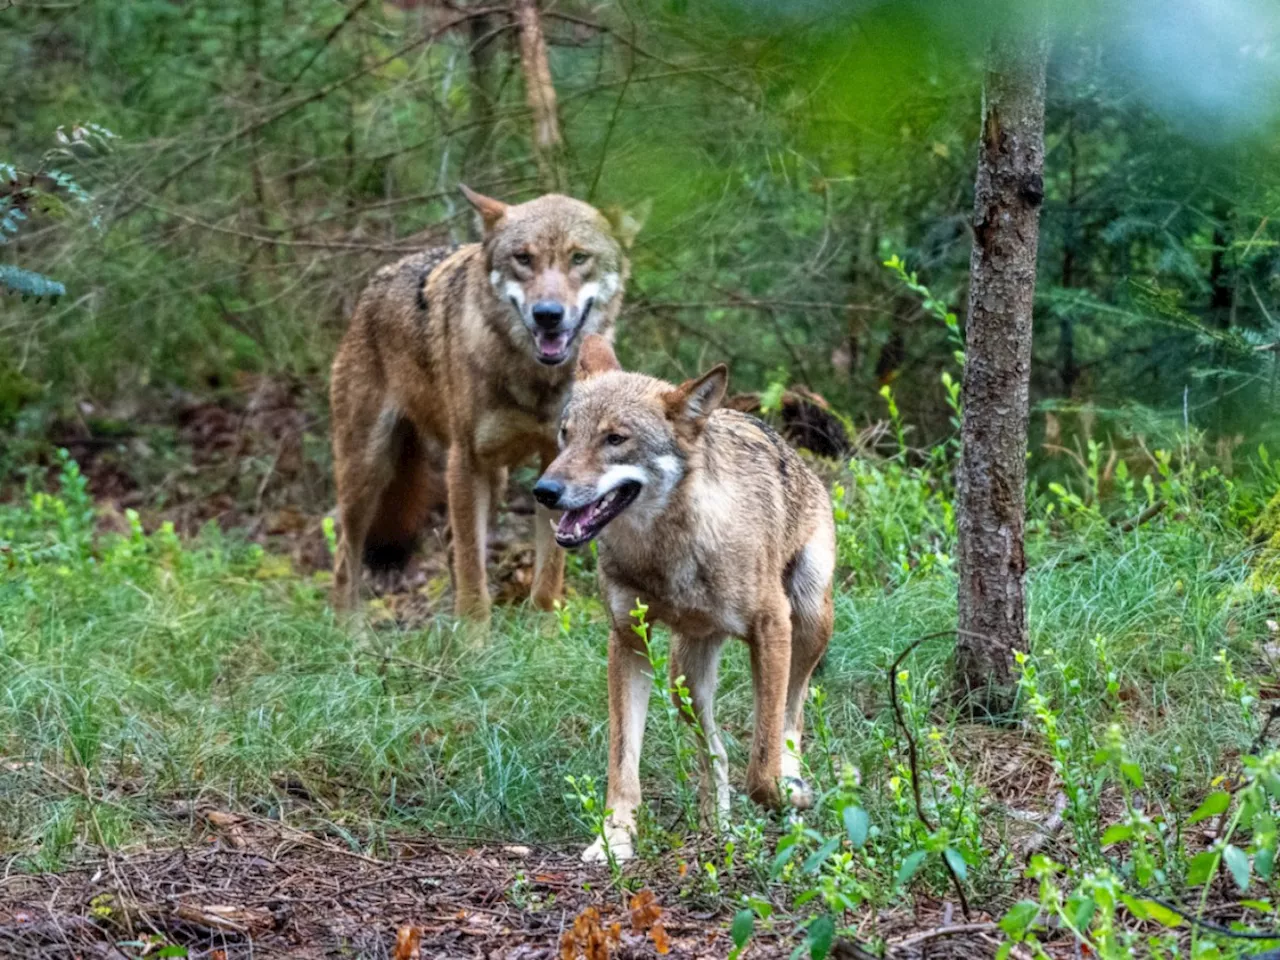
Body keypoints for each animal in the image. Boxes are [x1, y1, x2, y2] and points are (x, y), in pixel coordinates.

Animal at [330, 189, 645, 624]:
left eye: (579, 258)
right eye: (523, 258)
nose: (547, 315)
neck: (535, 381)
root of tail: (372, 287)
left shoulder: (556, 468)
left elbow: (548, 574)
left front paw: (544, 631)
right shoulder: (466, 462)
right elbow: (472, 573)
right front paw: (474, 637)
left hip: (493, 478)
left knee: (447, 539)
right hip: (368, 472)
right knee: (346, 556)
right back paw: (349, 632)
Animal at [532, 335, 839, 860]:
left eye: (615, 439)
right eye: (566, 435)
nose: (544, 490)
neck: (668, 552)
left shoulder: (772, 626)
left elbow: (762, 763)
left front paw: (788, 793)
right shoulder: (627, 641)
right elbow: (623, 761)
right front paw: (615, 838)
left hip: (810, 618)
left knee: (793, 718)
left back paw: (792, 788)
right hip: (684, 678)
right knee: (715, 750)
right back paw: (718, 828)